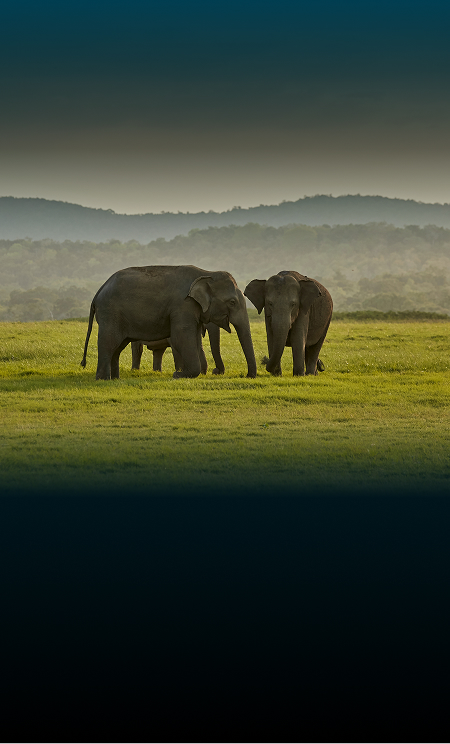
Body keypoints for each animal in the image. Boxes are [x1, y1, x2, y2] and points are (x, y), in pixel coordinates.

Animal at [81, 265, 256, 380]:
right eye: (232, 302)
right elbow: (181, 338)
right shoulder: (182, 305)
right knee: (109, 342)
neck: (206, 273)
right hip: (110, 313)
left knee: (118, 347)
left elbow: (194, 339)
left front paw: (181, 374)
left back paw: (115, 378)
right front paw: (178, 375)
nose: (247, 376)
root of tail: (98, 293)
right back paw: (103, 379)